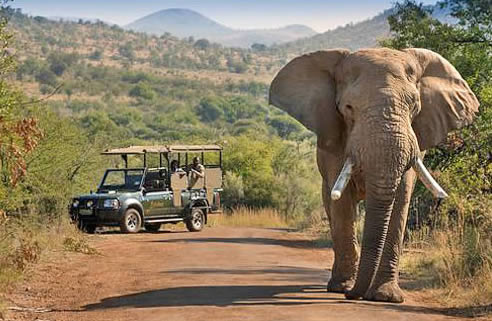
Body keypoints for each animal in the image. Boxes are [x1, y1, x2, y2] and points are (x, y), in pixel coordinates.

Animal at [268, 48, 478, 302]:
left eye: (414, 108)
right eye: (348, 108)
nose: (353, 295)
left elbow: (401, 198)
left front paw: (386, 297)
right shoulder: (336, 144)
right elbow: (342, 203)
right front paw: (344, 288)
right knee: (333, 206)